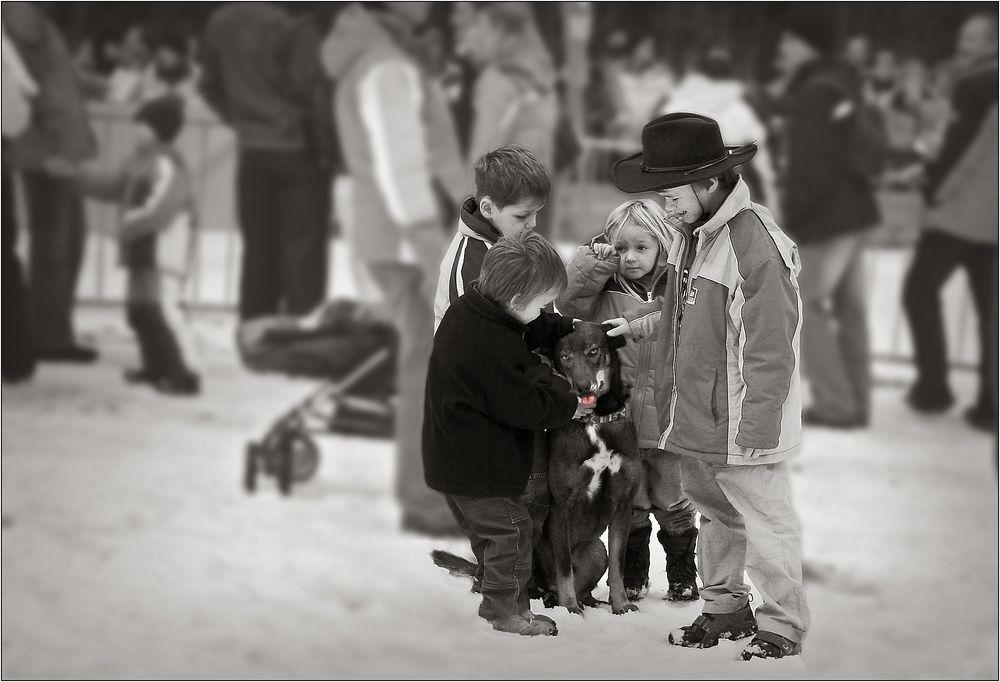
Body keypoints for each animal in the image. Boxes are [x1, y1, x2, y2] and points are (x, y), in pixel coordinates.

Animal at [536, 318, 644, 612]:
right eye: (564, 357)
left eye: (593, 351)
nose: (582, 386)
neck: (596, 422)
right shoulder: (561, 504)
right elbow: (563, 569)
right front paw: (570, 609)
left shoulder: (623, 502)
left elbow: (618, 565)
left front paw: (621, 605)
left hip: (597, 551)